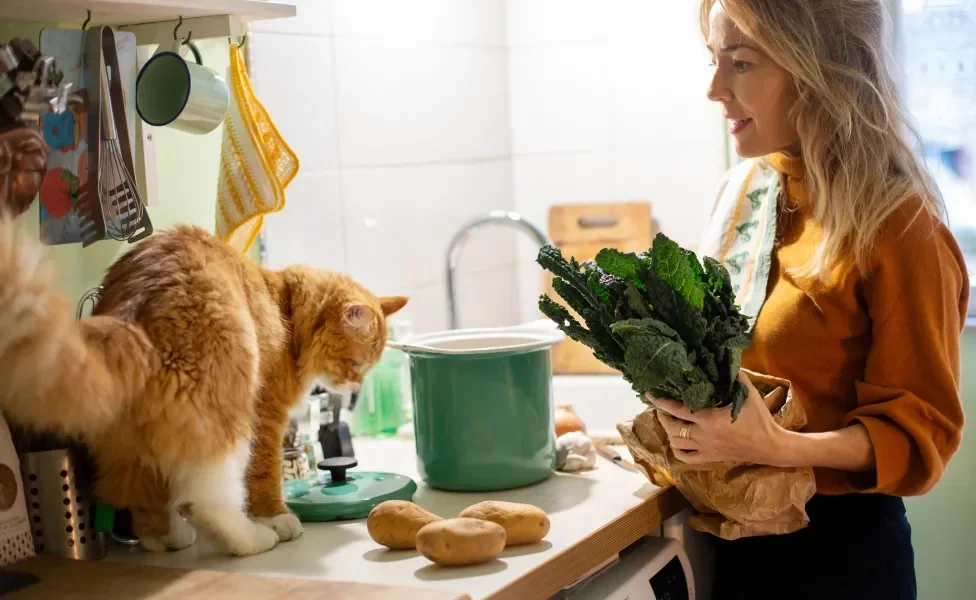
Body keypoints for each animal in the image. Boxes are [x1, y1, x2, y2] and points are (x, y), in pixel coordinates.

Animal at [0, 218, 406, 556]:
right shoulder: (268, 415)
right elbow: (265, 475)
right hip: (226, 407)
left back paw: (168, 537)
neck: (285, 309)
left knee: (141, 494)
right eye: (357, 364)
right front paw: (275, 517)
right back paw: (251, 539)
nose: (354, 387)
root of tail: (133, 311)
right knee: (205, 497)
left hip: (129, 442)